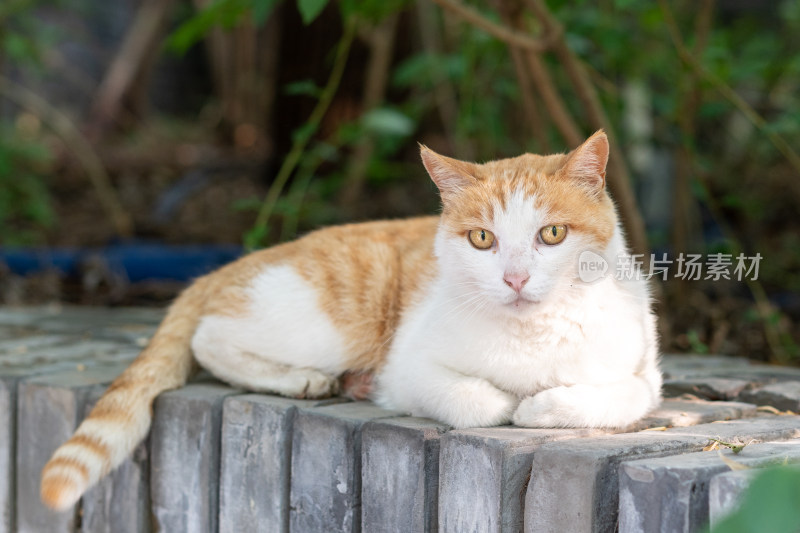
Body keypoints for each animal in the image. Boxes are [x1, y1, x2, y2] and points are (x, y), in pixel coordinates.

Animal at [39, 130, 664, 512]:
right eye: (482, 239)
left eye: (552, 234)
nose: (513, 279)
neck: (533, 335)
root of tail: (225, 266)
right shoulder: (407, 368)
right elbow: (480, 401)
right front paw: (513, 402)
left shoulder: (646, 375)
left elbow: (615, 396)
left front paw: (543, 404)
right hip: (333, 324)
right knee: (209, 337)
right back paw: (306, 380)